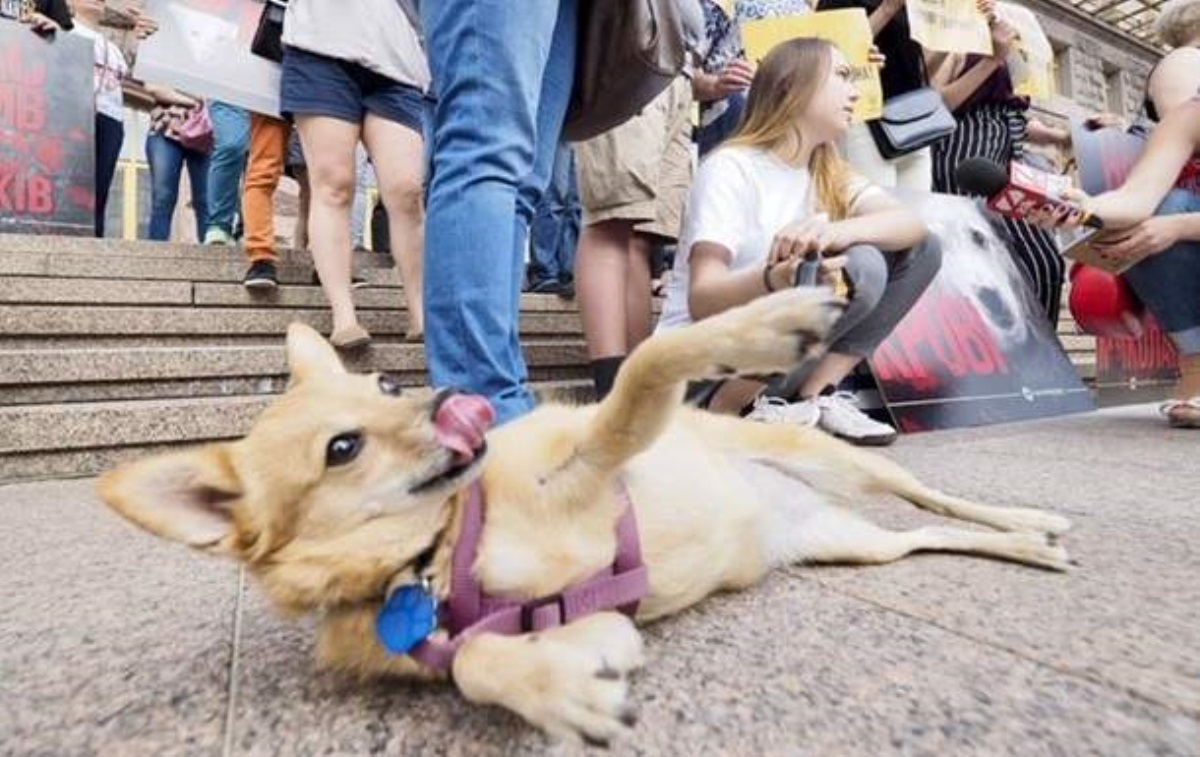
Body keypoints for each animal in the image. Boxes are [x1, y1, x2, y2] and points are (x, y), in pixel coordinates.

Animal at [96, 289, 1070, 748]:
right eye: (343, 447)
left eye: (385, 383)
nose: (454, 399)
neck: (447, 549)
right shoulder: (589, 618)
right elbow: (479, 659)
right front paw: (556, 687)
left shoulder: (607, 448)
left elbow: (649, 358)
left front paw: (762, 322)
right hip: (852, 545)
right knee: (927, 537)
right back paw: (1026, 547)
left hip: (842, 463)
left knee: (938, 501)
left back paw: (1029, 516)